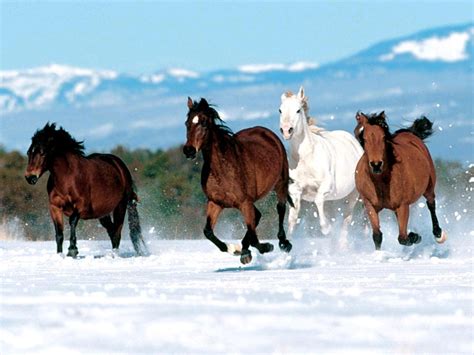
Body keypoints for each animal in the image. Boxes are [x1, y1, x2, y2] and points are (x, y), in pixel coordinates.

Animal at [23, 124, 146, 258]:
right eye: (29, 152)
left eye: (42, 153)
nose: (30, 177)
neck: (67, 177)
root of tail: (120, 166)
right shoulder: (55, 207)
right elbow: (59, 233)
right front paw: (60, 255)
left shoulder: (82, 206)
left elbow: (72, 221)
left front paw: (72, 250)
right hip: (103, 213)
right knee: (112, 231)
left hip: (120, 206)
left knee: (117, 232)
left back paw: (115, 255)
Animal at [184, 97, 292, 264]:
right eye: (187, 123)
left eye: (203, 123)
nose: (188, 150)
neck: (222, 170)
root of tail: (266, 132)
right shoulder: (215, 203)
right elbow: (208, 232)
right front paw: (234, 249)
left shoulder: (244, 202)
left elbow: (254, 237)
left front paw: (266, 247)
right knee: (257, 217)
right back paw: (244, 251)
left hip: (281, 183)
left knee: (280, 209)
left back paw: (283, 243)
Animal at [278, 87, 362, 241]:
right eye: (280, 110)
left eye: (298, 110)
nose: (286, 130)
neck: (306, 158)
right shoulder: (295, 191)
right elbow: (292, 219)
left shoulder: (326, 187)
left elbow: (317, 200)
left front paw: (326, 228)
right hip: (333, 201)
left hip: (352, 196)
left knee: (346, 220)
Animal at [356, 112, 448, 250]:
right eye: (365, 139)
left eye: (383, 137)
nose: (376, 165)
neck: (380, 182)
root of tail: (410, 134)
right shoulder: (369, 205)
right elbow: (377, 235)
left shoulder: (403, 206)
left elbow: (403, 238)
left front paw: (415, 236)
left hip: (429, 187)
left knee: (431, 204)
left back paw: (438, 234)